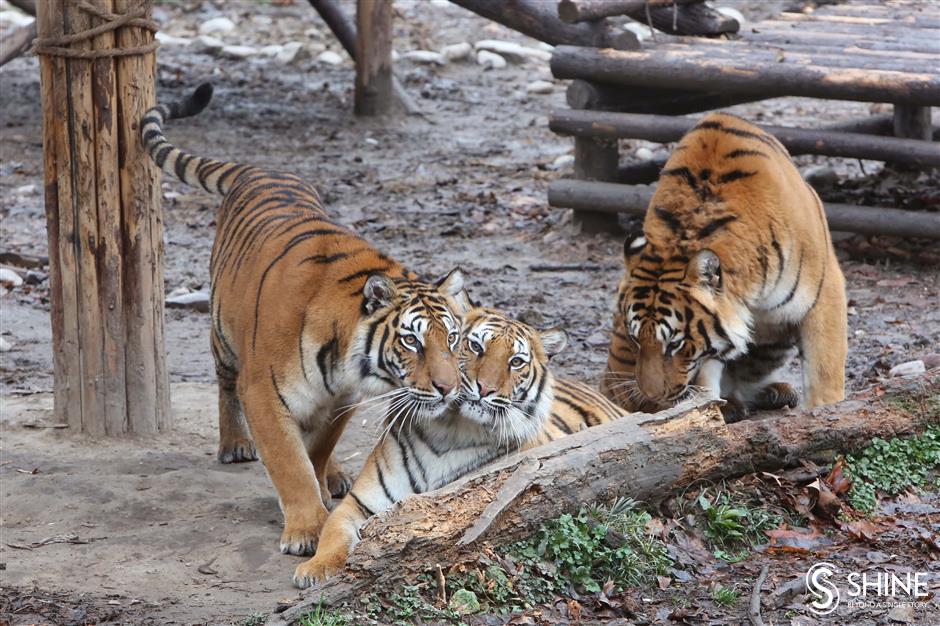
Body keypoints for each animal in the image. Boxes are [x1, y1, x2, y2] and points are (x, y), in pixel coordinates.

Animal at [141, 84, 470, 556]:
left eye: (453, 339)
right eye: (412, 341)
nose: (448, 389)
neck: (342, 355)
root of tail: (263, 169)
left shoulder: (342, 397)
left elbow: (317, 448)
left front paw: (321, 484)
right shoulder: (263, 392)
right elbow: (290, 461)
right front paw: (306, 529)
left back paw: (333, 475)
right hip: (223, 335)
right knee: (224, 383)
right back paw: (234, 443)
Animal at [294, 304, 632, 588]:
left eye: (516, 362)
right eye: (476, 346)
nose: (485, 388)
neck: (451, 431)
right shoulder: (358, 503)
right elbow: (333, 534)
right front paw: (315, 569)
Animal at [604, 110, 852, 422]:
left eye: (674, 344)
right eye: (637, 340)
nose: (651, 394)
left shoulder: (824, 291)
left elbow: (824, 367)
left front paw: (826, 411)